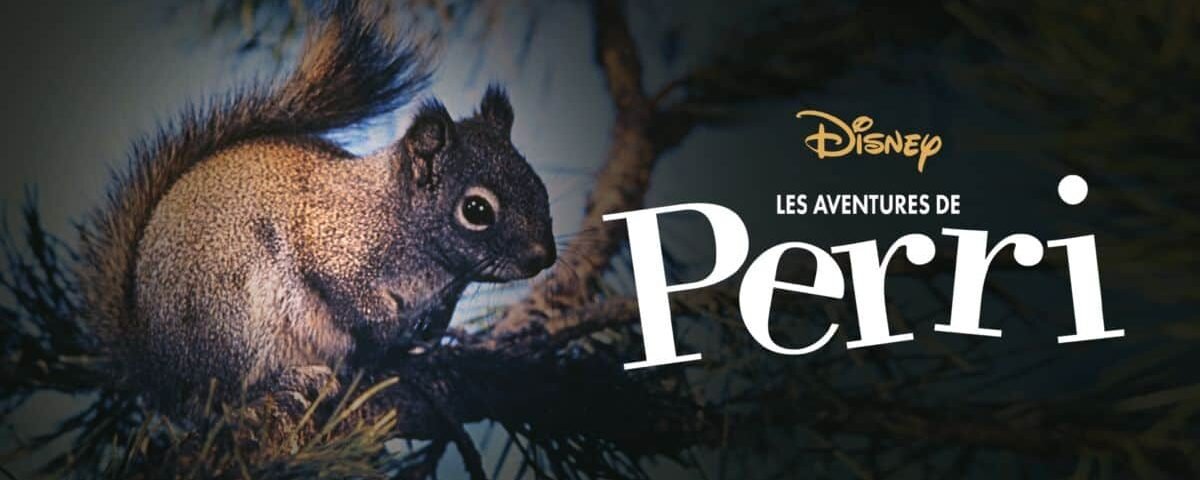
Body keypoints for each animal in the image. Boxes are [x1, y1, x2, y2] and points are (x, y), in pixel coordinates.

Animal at [76, 1, 555, 410]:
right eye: (476, 211)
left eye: (540, 186)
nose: (543, 257)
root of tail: (158, 369)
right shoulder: (332, 241)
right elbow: (348, 294)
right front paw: (384, 329)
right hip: (235, 319)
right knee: (225, 394)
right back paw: (293, 379)